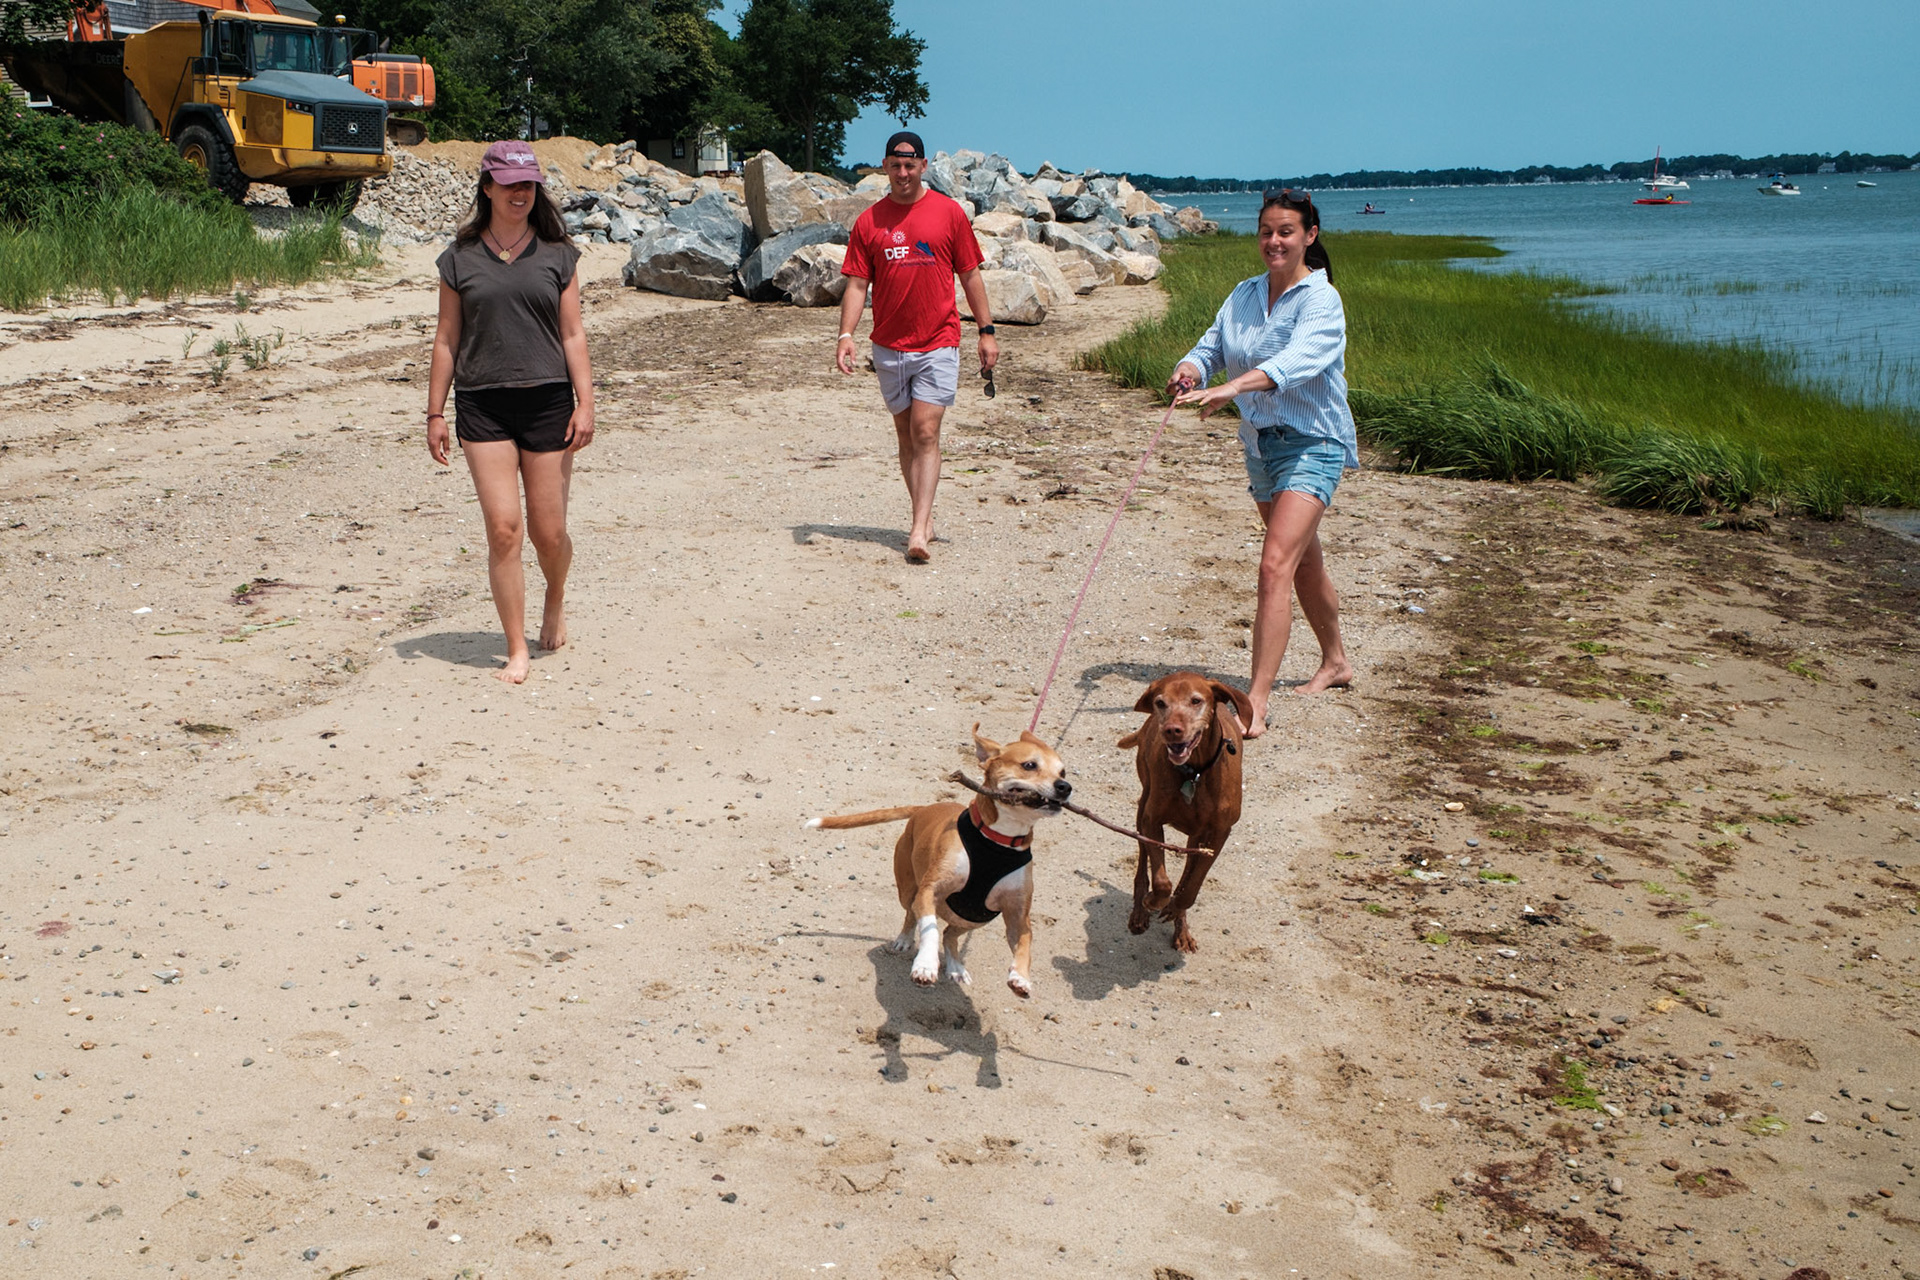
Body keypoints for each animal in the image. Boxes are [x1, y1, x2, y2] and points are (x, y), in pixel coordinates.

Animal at [806, 724, 1069, 997]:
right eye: (1029, 765)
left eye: (1063, 771)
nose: (1065, 787)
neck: (999, 841)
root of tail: (924, 808)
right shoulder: (929, 891)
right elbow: (929, 928)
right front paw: (925, 965)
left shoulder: (1018, 916)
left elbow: (1025, 945)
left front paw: (1021, 977)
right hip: (909, 889)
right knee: (913, 915)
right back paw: (905, 940)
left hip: (978, 915)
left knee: (950, 934)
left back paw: (956, 967)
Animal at [1117, 672, 1252, 953]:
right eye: (1160, 702)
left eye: (1196, 700)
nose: (1171, 730)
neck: (1195, 773)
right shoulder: (1152, 821)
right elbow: (1162, 881)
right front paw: (1154, 901)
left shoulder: (1218, 835)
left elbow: (1191, 886)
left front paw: (1175, 908)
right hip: (1142, 807)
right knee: (1142, 864)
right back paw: (1140, 913)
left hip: (1196, 838)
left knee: (1187, 873)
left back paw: (1181, 927)